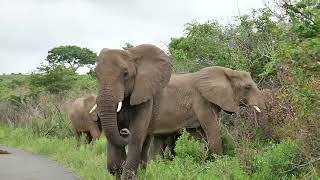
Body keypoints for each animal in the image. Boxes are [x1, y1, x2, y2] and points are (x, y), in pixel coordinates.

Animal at [92, 44, 171, 180]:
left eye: (125, 74)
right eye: (96, 74)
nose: (124, 131)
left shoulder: (144, 95)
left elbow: (136, 136)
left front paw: (128, 175)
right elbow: (114, 140)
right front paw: (116, 170)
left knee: (145, 143)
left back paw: (142, 173)